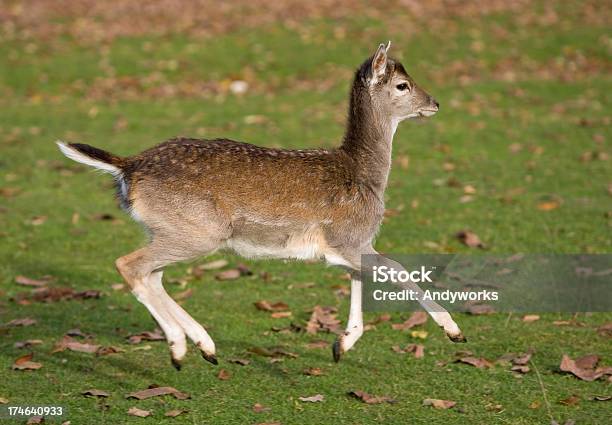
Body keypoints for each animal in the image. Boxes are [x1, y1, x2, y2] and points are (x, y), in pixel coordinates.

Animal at [58, 41, 464, 370]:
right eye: (402, 85)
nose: (435, 103)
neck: (366, 176)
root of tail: (128, 167)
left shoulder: (349, 244)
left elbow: (358, 277)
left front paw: (341, 345)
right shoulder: (348, 237)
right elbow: (397, 268)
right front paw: (454, 330)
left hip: (171, 229)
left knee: (152, 273)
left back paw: (204, 346)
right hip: (200, 230)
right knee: (129, 264)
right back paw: (179, 349)